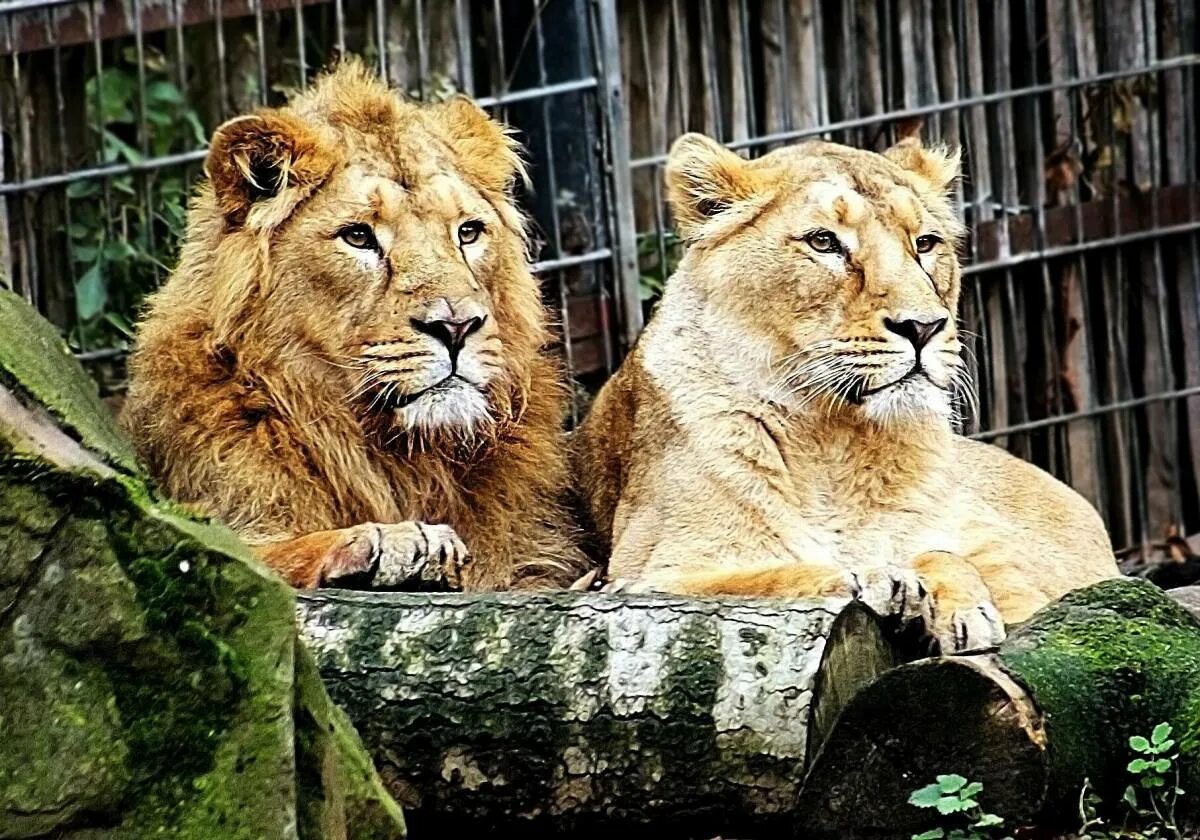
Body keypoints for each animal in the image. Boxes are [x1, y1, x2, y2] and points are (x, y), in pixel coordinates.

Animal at [124, 63, 588, 590]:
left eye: (468, 232)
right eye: (358, 236)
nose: (456, 326)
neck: (403, 460)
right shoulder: (215, 523)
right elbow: (260, 558)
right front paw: (393, 543)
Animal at [576, 134, 1118, 652]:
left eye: (925, 242)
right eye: (824, 242)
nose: (923, 326)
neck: (836, 439)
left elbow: (943, 553)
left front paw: (963, 607)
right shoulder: (642, 576)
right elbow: (771, 576)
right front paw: (881, 579)